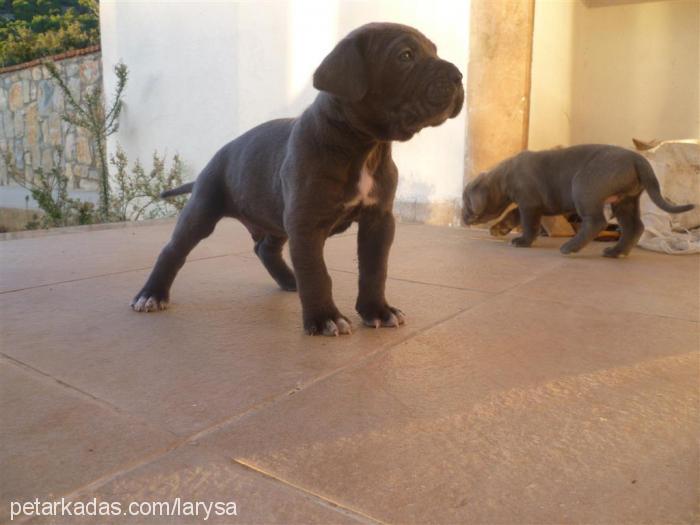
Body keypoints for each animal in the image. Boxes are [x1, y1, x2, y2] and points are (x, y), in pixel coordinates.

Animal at [134, 21, 468, 336]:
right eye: (405, 56)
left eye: (435, 51)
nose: (458, 76)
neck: (364, 146)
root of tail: (216, 156)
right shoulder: (305, 222)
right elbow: (316, 271)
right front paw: (324, 318)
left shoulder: (378, 220)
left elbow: (375, 269)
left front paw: (377, 310)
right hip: (204, 208)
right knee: (173, 250)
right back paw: (151, 294)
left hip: (275, 216)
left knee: (265, 248)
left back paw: (289, 280)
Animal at [464, 144, 696, 256]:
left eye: (466, 202)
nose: (463, 219)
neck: (504, 176)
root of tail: (637, 159)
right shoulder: (529, 205)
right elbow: (513, 214)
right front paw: (499, 228)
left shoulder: (529, 205)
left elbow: (529, 225)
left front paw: (522, 241)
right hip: (625, 200)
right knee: (634, 226)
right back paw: (616, 252)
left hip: (584, 188)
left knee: (596, 222)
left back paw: (570, 247)